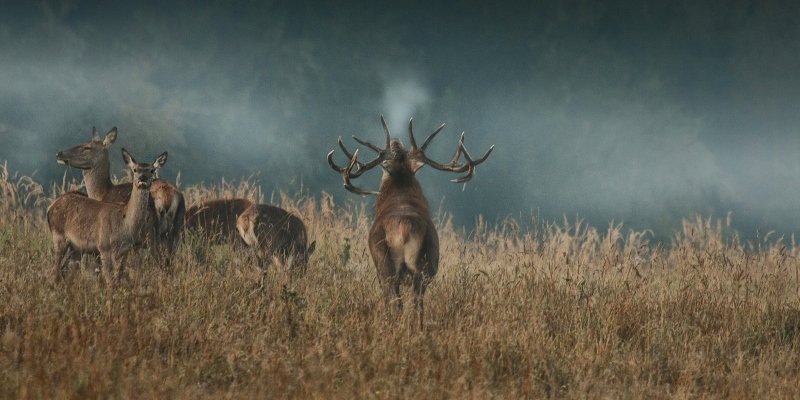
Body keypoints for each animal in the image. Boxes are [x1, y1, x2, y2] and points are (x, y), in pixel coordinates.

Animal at [48, 149, 167, 283]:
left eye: (152, 170)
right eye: (135, 169)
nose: (143, 178)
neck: (124, 226)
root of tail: (50, 207)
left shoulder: (125, 250)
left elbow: (118, 277)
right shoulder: (103, 247)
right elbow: (109, 279)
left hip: (76, 247)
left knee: (66, 270)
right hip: (58, 236)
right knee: (55, 271)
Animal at [55, 127, 185, 265]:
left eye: (87, 147)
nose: (59, 154)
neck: (102, 193)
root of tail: (167, 197)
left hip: (150, 233)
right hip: (176, 230)